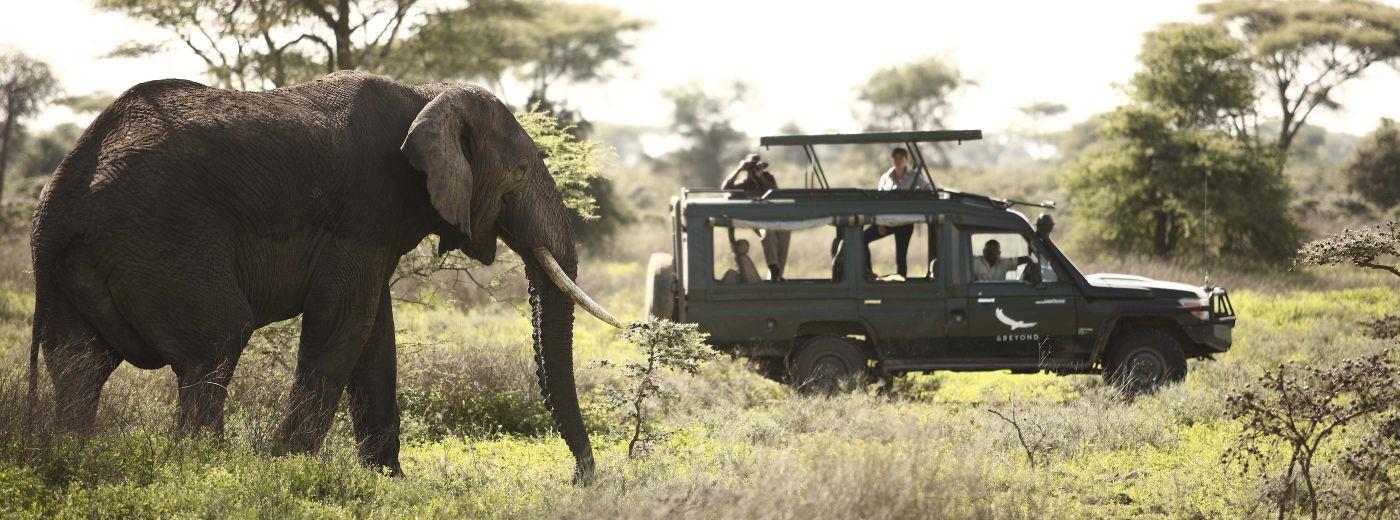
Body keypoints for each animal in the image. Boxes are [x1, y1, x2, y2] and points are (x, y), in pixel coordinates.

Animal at [24, 69, 618, 479]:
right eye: (520, 170)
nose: (583, 479)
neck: (426, 95)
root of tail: (61, 196)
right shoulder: (362, 209)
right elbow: (346, 323)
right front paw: (283, 467)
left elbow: (376, 333)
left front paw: (388, 480)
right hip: (162, 239)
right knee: (216, 341)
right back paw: (207, 470)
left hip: (79, 267)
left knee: (79, 365)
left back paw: (74, 463)